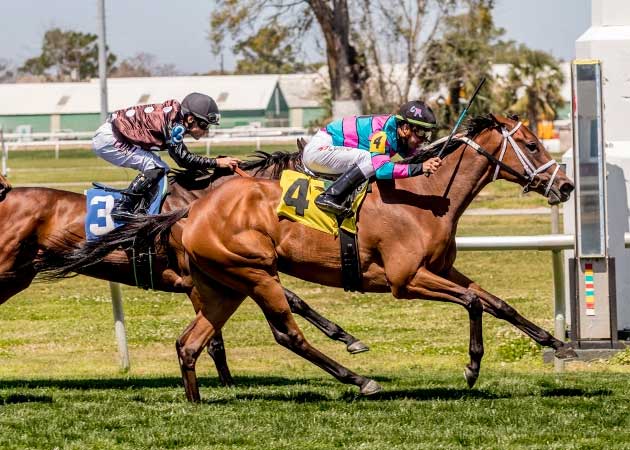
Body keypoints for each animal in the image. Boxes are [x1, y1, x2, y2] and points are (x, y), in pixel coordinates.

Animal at [0, 150, 368, 384]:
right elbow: (275, 307)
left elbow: (289, 302)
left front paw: (347, 338)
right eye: (322, 175)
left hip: (18, 276)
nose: (336, 209)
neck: (205, 205)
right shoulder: (200, 280)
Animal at [38, 113, 584, 400]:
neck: (427, 195)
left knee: (193, 341)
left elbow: (496, 303)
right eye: (532, 142)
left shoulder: (442, 268)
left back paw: (199, 400)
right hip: (255, 273)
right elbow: (472, 303)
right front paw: (471, 367)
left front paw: (558, 342)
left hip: (223, 285)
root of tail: (189, 213)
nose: (566, 186)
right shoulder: (406, 280)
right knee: (285, 331)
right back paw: (359, 379)